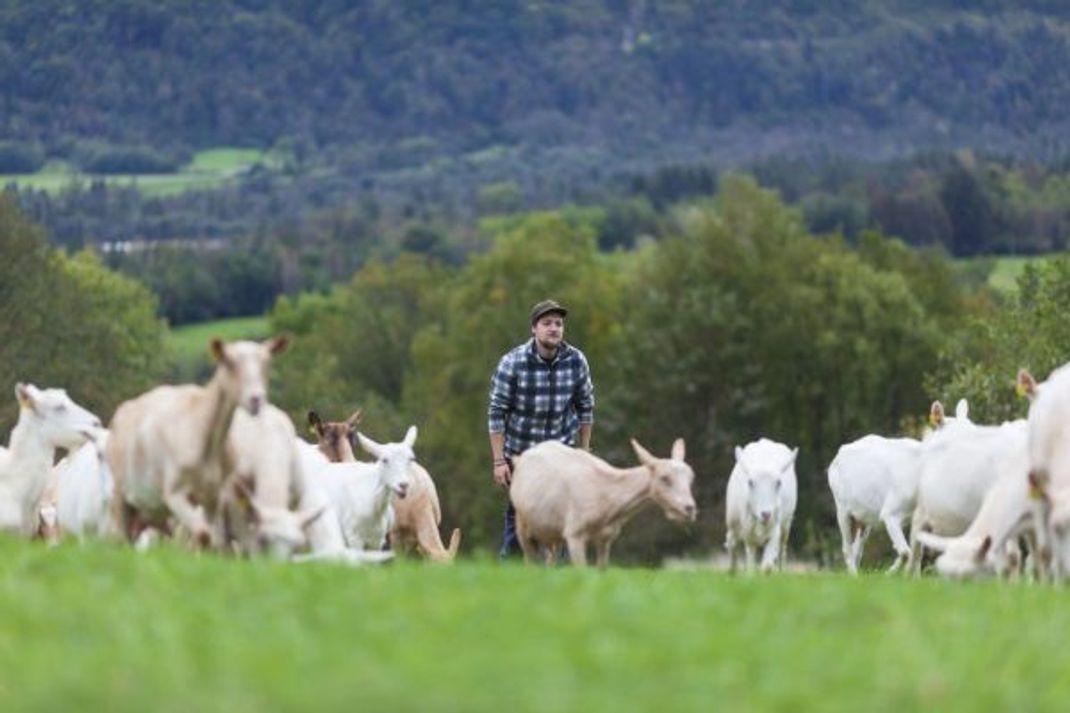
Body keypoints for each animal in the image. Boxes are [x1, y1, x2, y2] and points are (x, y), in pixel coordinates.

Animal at [723, 438, 800, 573]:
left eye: (778, 483)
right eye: (750, 482)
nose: (766, 514)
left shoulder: (774, 529)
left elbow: (767, 565)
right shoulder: (747, 533)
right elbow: (748, 557)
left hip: (786, 524)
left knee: (782, 548)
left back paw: (782, 571)